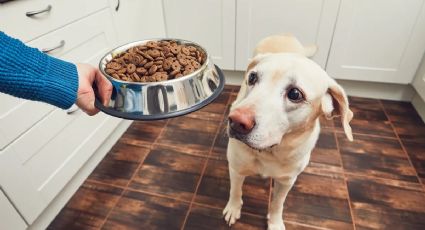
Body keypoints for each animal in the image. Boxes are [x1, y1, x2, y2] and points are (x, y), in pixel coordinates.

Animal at [220, 34, 352, 230]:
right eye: (252, 78)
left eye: (295, 94)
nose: (236, 121)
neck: (270, 152)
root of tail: (284, 34)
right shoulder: (236, 168)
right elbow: (235, 191)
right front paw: (233, 209)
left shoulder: (286, 181)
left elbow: (277, 204)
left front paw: (275, 223)